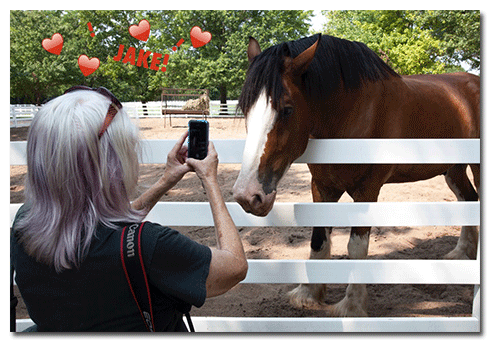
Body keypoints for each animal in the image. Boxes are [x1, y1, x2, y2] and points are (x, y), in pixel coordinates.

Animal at [233, 33, 478, 316]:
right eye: (245, 108)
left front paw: (351, 306)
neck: (355, 113)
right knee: (469, 200)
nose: (248, 195)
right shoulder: (322, 187)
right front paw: (309, 294)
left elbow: (357, 247)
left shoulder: (367, 190)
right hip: (453, 170)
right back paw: (461, 255)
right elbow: (318, 239)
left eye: (287, 109)